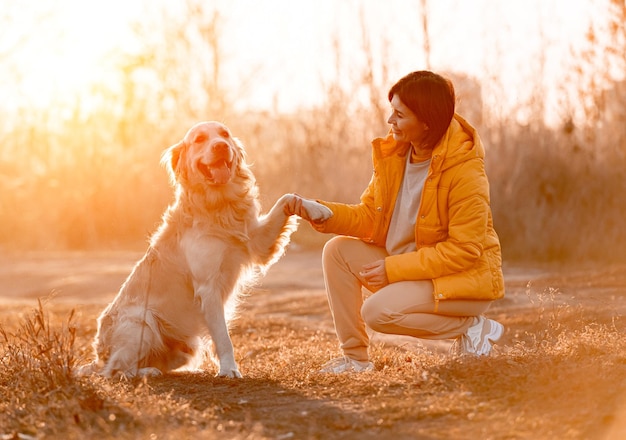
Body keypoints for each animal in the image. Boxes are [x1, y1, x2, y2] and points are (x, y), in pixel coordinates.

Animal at [78, 121, 332, 378]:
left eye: (224, 135)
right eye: (199, 139)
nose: (220, 146)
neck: (218, 205)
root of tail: (98, 356)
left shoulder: (258, 242)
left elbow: (288, 197)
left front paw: (316, 209)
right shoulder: (208, 288)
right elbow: (223, 337)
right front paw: (229, 369)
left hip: (185, 347)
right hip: (141, 321)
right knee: (115, 369)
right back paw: (147, 372)